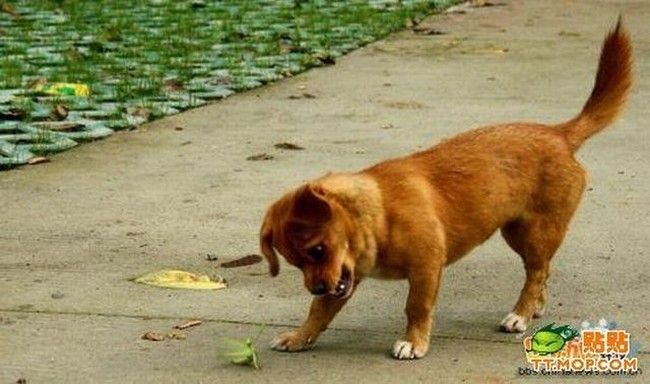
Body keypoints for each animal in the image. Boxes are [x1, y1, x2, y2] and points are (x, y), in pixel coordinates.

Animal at [256, 20, 628, 356]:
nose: (316, 287)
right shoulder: (343, 280)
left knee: (537, 272)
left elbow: (416, 307)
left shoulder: (424, 268)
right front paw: (299, 337)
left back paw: (520, 315)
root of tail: (559, 134)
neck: (378, 213)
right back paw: (535, 306)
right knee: (542, 270)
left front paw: (414, 342)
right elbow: (319, 313)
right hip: (516, 234)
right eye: (295, 263)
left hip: (537, 234)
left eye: (318, 249)